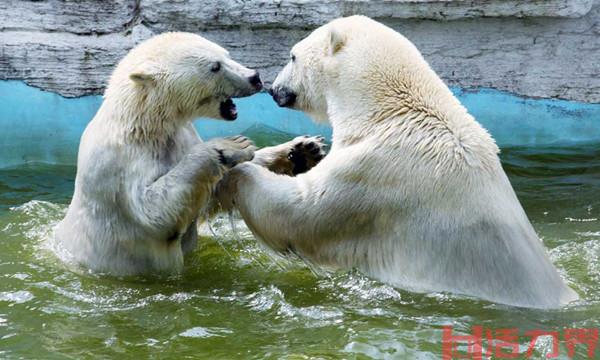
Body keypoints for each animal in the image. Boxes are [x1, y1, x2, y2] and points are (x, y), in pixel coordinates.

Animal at [55, 33, 328, 276]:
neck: (143, 123)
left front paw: (302, 150)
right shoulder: (122, 164)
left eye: (227, 54)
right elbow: (152, 211)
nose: (254, 77)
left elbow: (210, 194)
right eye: (215, 66)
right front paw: (232, 145)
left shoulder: (180, 137)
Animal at [218, 16, 580, 308]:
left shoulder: (372, 173)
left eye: (292, 55)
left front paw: (235, 169)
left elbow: (301, 213)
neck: (389, 110)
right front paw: (302, 150)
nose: (274, 89)